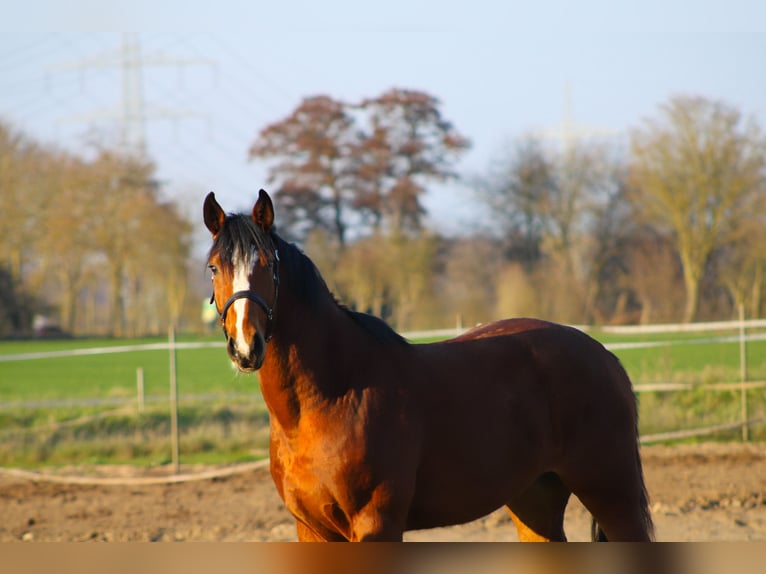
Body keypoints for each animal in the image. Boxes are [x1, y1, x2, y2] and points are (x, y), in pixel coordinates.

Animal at [203, 189, 654, 542]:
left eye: (269, 264)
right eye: (214, 267)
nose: (246, 346)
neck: (333, 396)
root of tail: (605, 356)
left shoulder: (377, 526)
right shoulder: (312, 530)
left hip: (612, 494)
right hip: (535, 500)